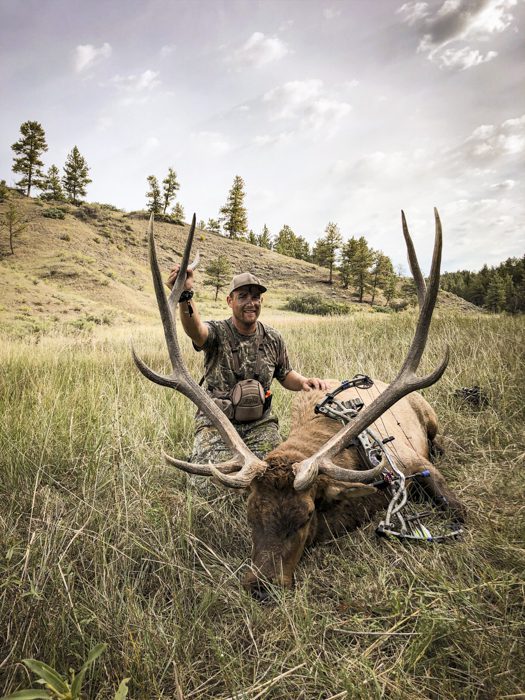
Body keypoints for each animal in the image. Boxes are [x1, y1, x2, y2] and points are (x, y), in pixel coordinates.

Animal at [132, 210, 465, 601]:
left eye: (306, 515)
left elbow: (458, 510)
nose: (261, 585)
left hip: (428, 412)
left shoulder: (413, 462)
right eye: (250, 514)